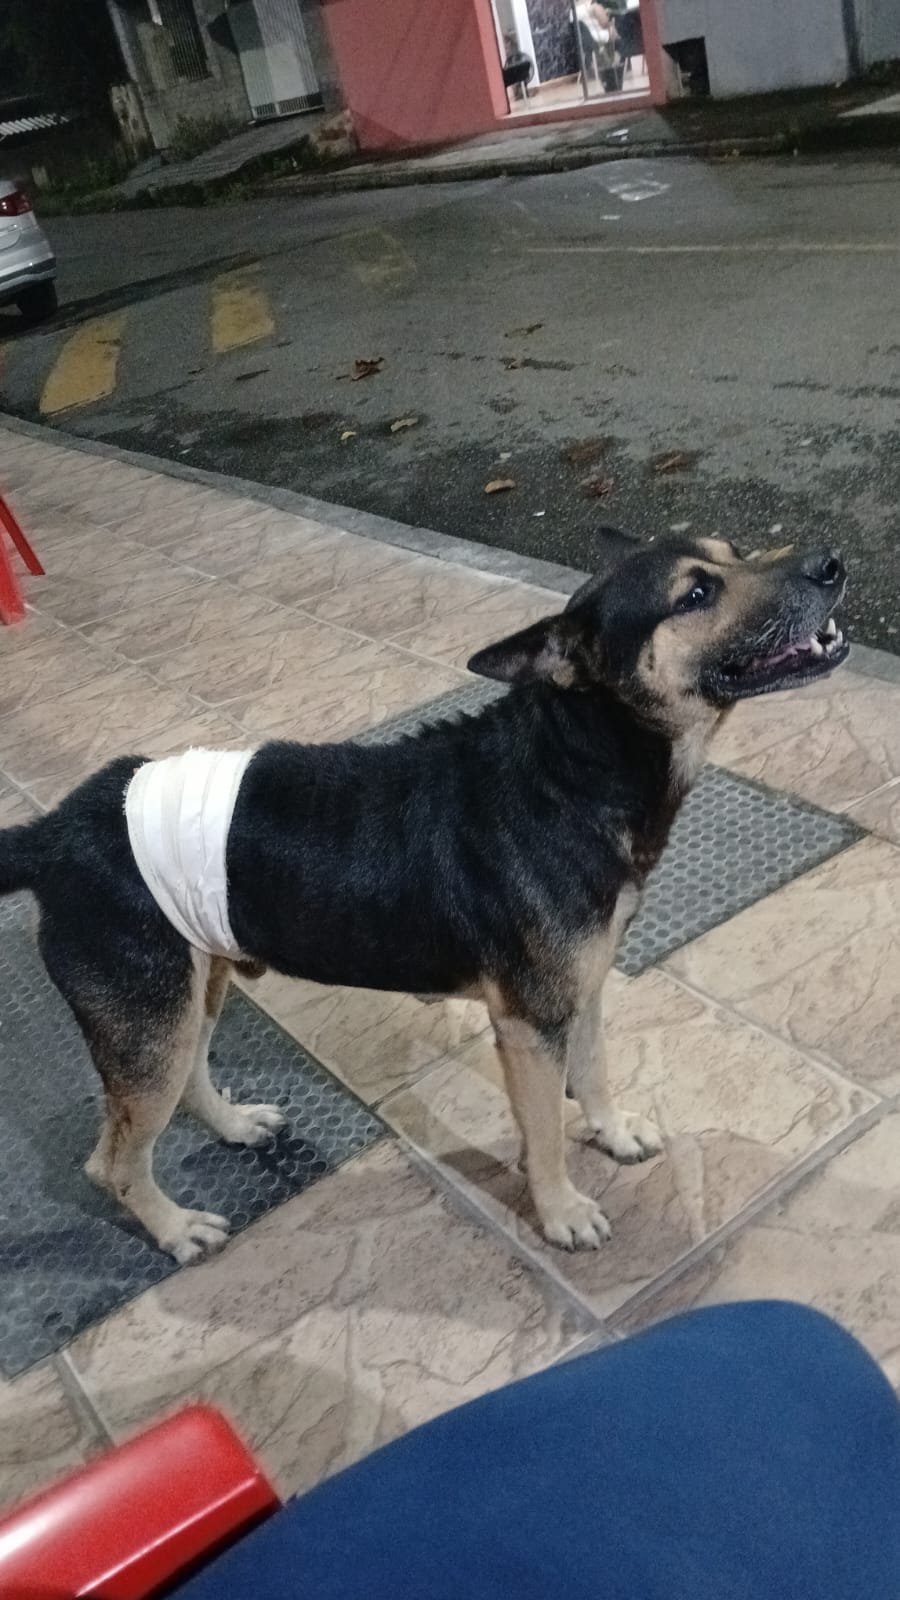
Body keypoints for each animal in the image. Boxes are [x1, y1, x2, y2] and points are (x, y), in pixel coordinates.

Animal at [0, 534, 849, 1262]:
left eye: (734, 552)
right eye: (696, 593)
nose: (832, 564)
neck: (573, 763)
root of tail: (54, 831)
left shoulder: (581, 991)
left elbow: (598, 1071)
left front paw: (609, 1133)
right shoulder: (529, 1024)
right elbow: (544, 1132)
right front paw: (561, 1211)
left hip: (191, 988)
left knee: (186, 1082)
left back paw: (234, 1125)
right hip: (150, 1020)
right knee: (112, 1162)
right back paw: (174, 1229)